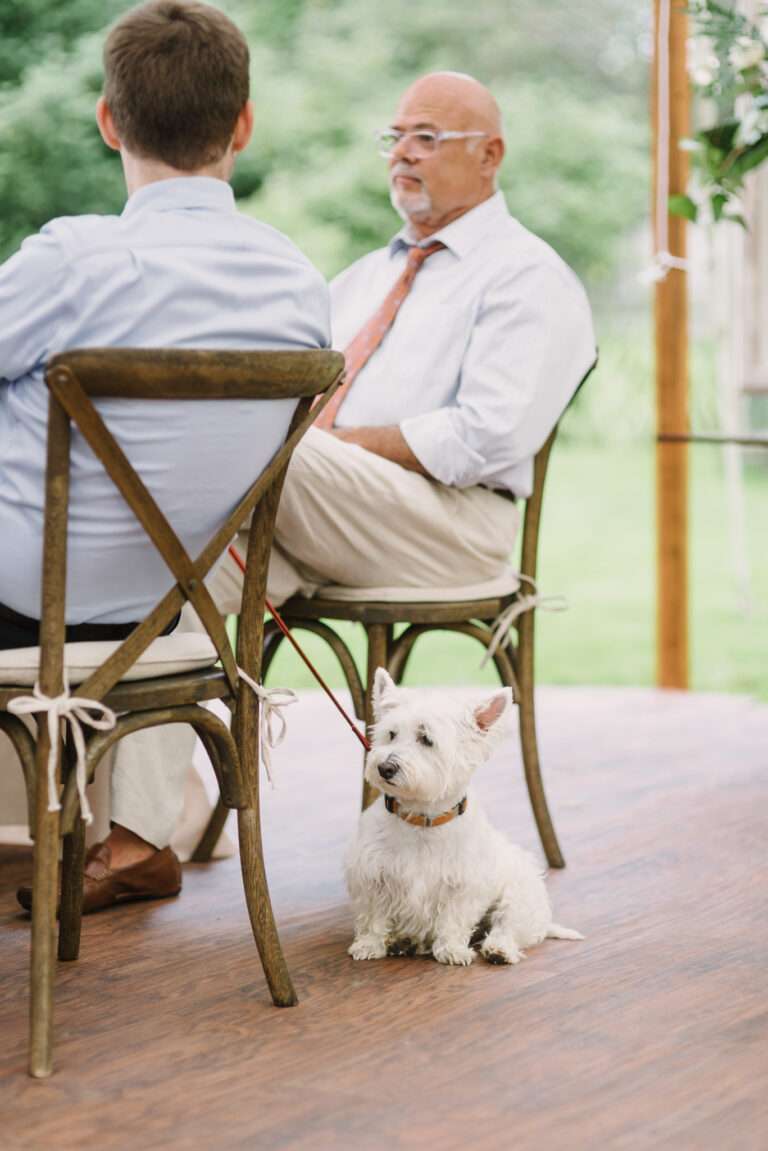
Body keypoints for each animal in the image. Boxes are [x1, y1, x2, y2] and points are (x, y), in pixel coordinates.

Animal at [343, 672, 582, 966]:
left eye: (426, 739)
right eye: (391, 734)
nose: (385, 767)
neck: (422, 819)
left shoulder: (464, 884)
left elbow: (453, 920)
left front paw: (452, 950)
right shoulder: (371, 875)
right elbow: (372, 915)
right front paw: (368, 945)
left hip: (519, 896)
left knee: (507, 925)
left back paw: (498, 950)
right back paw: (403, 941)